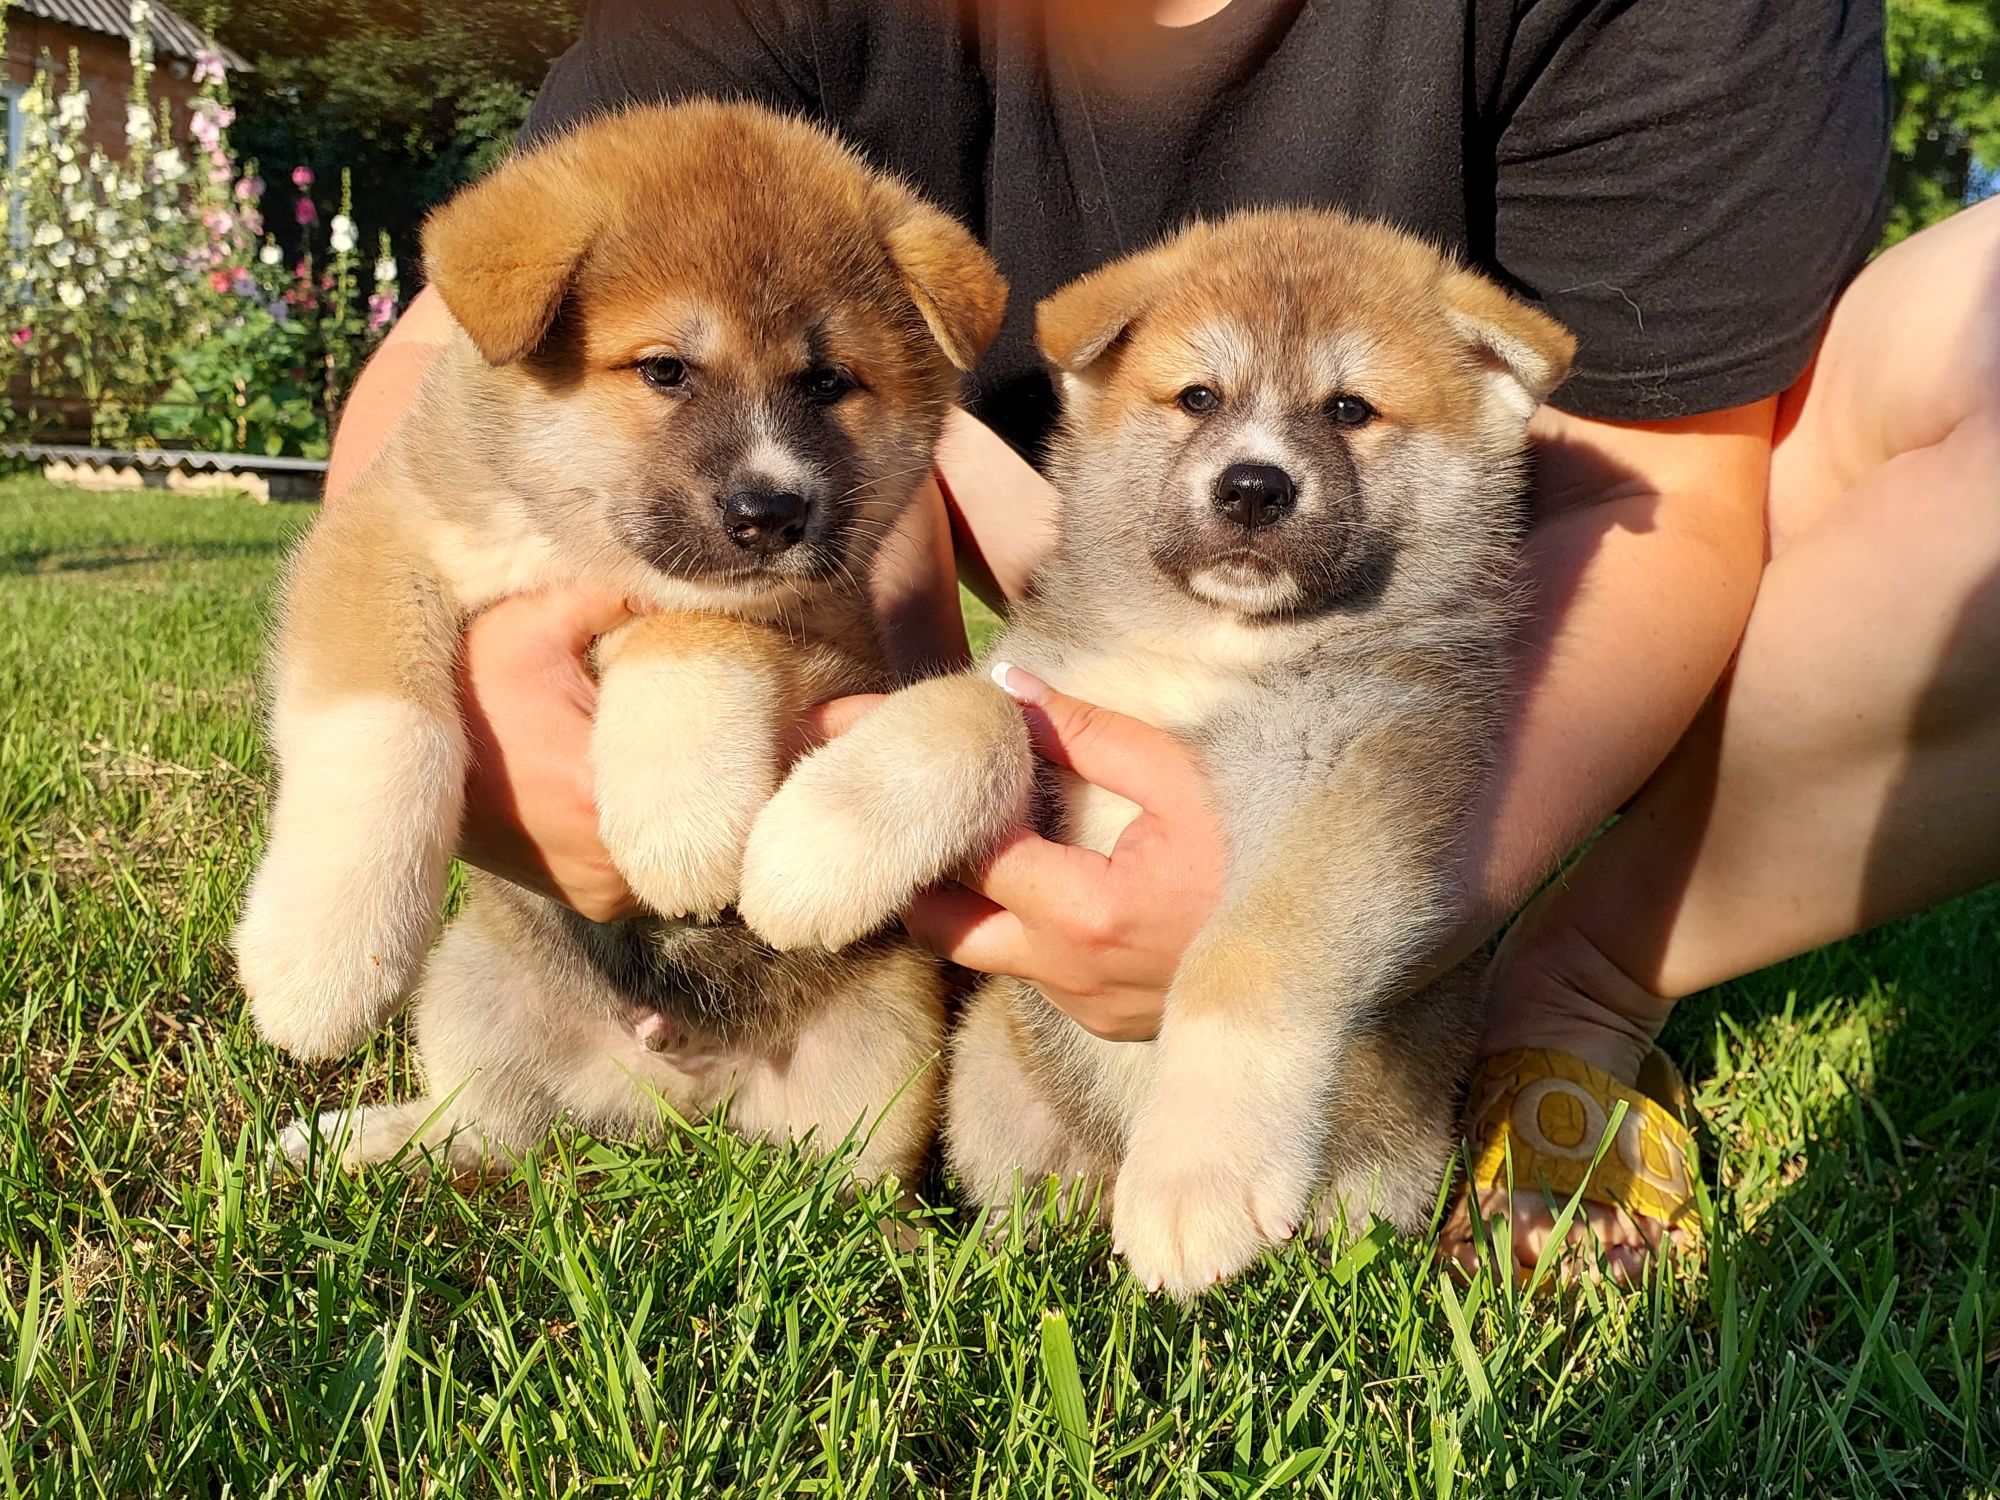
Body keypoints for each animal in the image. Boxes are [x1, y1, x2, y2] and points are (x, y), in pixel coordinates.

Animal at [234, 100, 1008, 1192]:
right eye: (664, 369)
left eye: (827, 382)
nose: (772, 514)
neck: (569, 541)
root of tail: (671, 1094)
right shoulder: (381, 546)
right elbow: (381, 728)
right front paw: (324, 959)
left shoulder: (817, 625)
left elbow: (686, 622)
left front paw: (678, 814)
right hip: (472, 982)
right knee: (489, 1129)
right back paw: (364, 1139)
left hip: (886, 1038)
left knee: (842, 1184)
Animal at [740, 209, 1576, 1296]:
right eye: (1197, 397)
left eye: (1349, 409)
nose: (1253, 488)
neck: (1215, 654)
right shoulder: (1051, 693)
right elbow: (967, 709)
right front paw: (819, 838)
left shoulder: (1358, 785)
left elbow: (1243, 960)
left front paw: (1196, 1176)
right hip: (992, 1071)